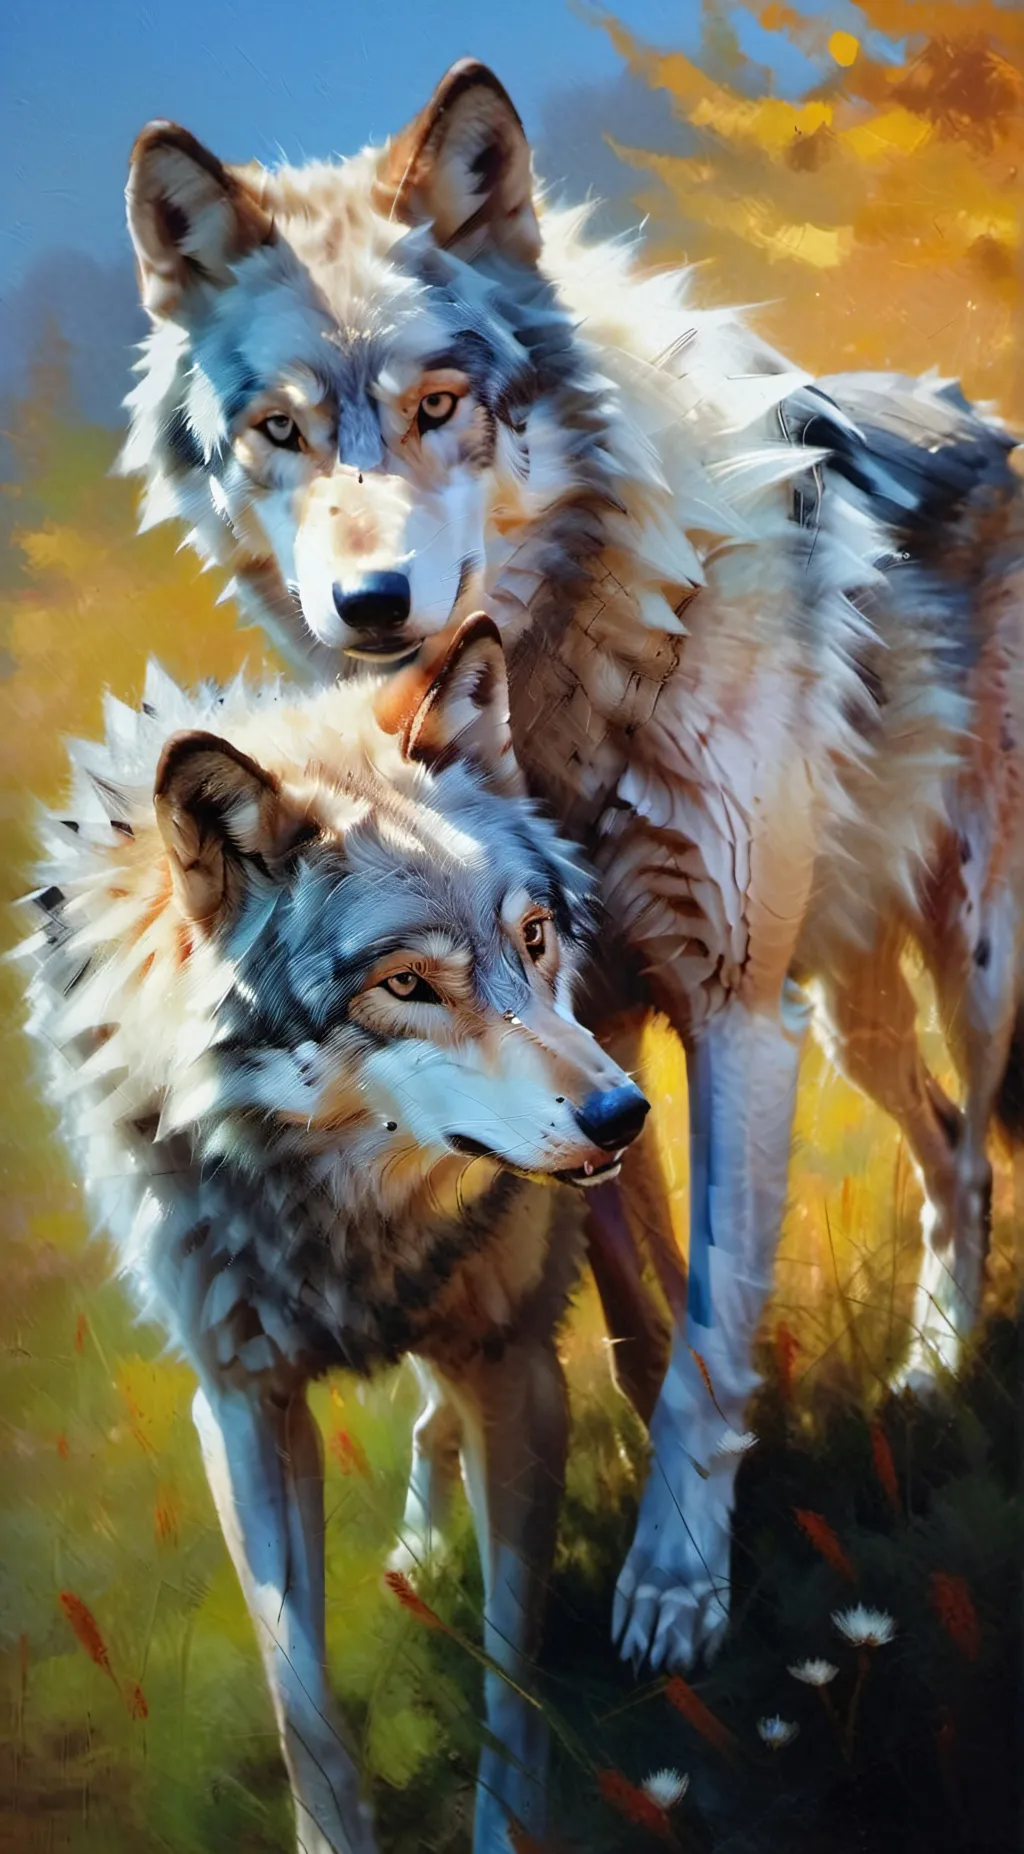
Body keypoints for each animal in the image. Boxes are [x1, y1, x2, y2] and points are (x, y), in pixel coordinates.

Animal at [20, 616, 650, 1854]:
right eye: (406, 983)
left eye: (532, 936)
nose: (618, 1115)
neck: (352, 1220)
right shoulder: (242, 1409)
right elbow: (299, 1697)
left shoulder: (512, 1357)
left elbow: (512, 1664)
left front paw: (508, 1826)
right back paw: (421, 1548)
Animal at [118, 60, 1024, 1672]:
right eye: (279, 431)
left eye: (437, 406)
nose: (371, 602)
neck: (557, 707)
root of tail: (976, 414)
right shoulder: (578, 1042)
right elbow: (630, 1309)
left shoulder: (728, 1014)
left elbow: (712, 1332)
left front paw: (674, 1586)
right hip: (846, 1019)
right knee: (933, 1144)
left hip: (969, 964)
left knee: (973, 1147)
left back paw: (935, 1363)